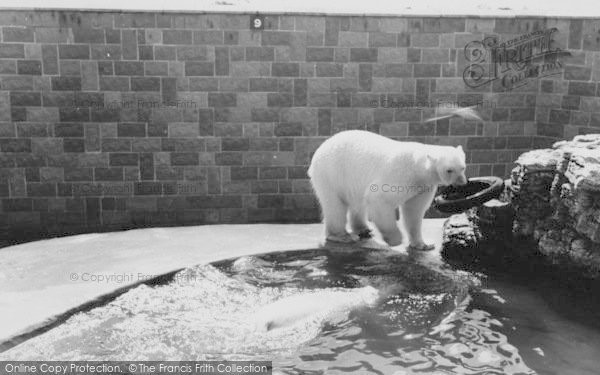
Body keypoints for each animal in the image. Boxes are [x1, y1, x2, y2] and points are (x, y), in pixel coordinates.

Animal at [310, 131, 468, 251]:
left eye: (463, 167)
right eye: (449, 170)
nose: (462, 183)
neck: (418, 168)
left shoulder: (423, 186)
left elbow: (414, 211)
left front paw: (423, 244)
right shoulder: (401, 175)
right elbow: (379, 199)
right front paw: (395, 239)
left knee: (358, 202)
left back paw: (363, 228)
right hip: (331, 173)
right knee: (335, 205)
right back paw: (343, 236)